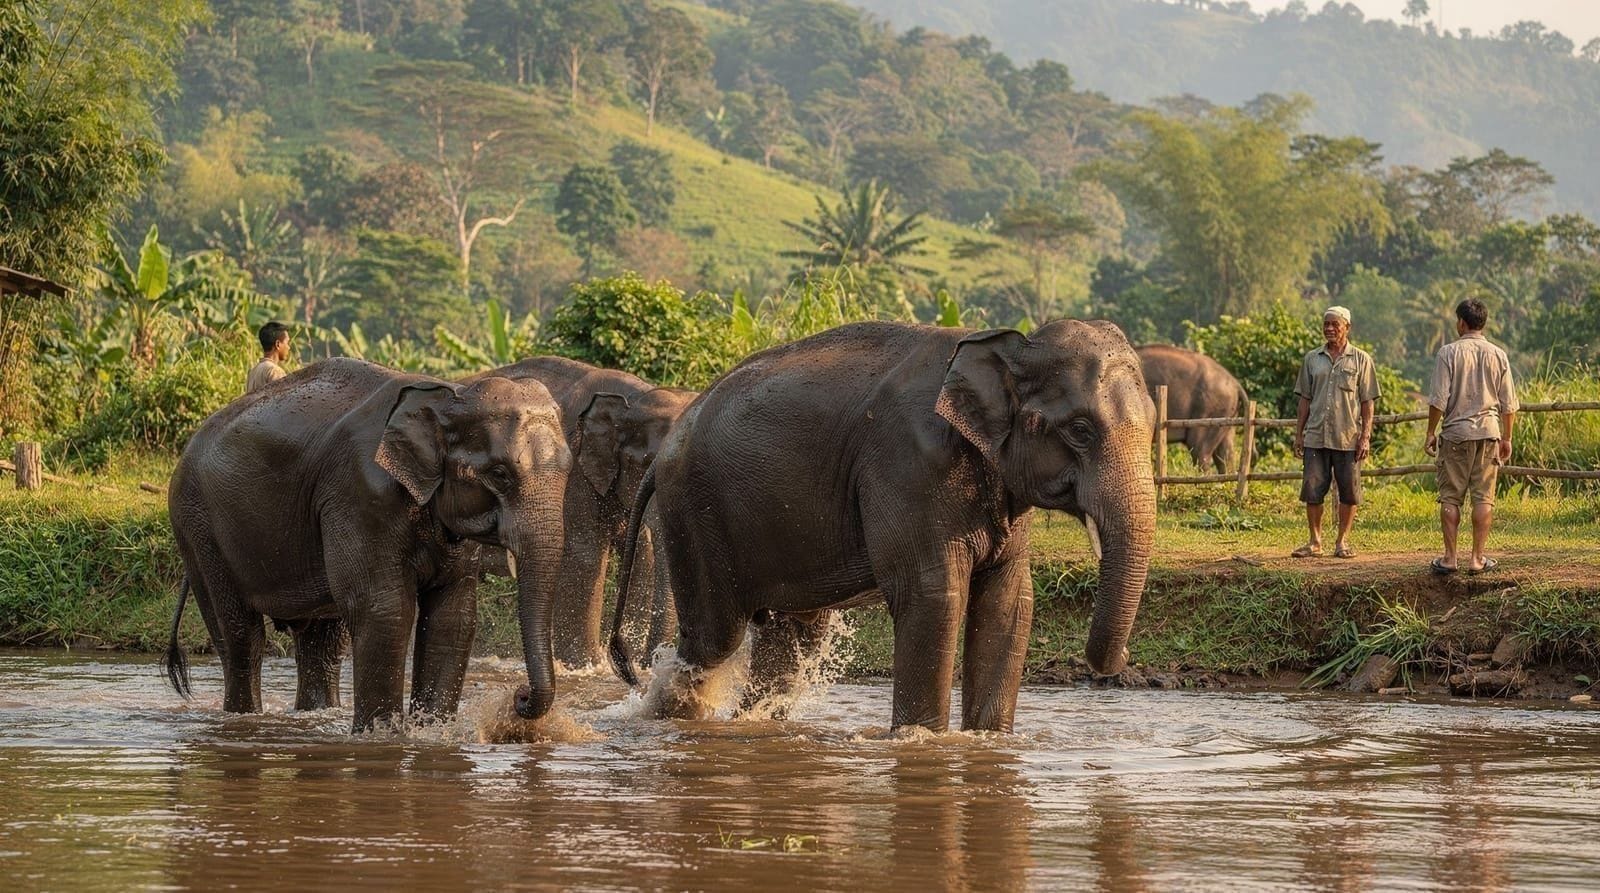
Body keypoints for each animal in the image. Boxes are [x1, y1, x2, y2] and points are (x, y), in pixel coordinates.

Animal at [163, 358, 571, 732]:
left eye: (569, 471)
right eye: (500, 474)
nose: (519, 697)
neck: (448, 395)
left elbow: (453, 615)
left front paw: (432, 730)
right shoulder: (361, 494)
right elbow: (384, 609)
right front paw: (383, 735)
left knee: (322, 642)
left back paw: (316, 714)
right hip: (198, 526)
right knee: (242, 637)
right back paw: (243, 719)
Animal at [468, 356, 696, 668]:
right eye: (646, 463)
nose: (647, 662)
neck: (632, 399)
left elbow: (642, 556)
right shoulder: (570, 469)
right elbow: (584, 555)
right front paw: (583, 665)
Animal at [607, 320, 1157, 733]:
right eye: (1080, 430)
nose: (1121, 659)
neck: (1003, 343)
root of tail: (667, 447)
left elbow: (1009, 601)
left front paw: (989, 741)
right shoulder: (909, 464)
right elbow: (934, 597)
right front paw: (921, 741)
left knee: (790, 637)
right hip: (696, 515)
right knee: (713, 640)